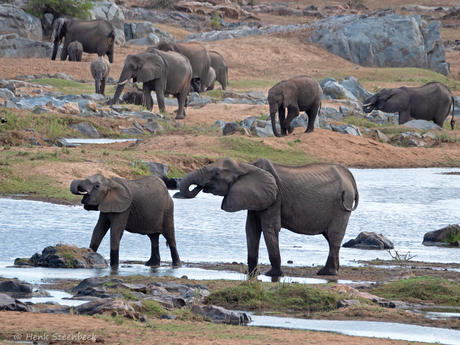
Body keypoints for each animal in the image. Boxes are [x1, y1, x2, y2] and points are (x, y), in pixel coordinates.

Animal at [180, 156, 360, 276]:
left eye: (217, 174)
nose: (199, 187)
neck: (246, 165)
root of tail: (350, 176)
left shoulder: (274, 197)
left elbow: (269, 228)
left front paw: (273, 274)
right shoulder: (255, 197)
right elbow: (251, 229)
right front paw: (251, 273)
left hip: (342, 204)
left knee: (334, 237)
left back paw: (326, 273)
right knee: (330, 238)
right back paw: (333, 270)